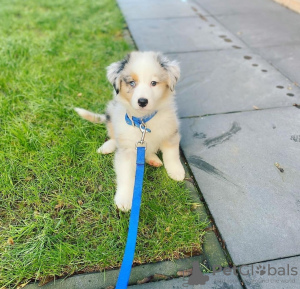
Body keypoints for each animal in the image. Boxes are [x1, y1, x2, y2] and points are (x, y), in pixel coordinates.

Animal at [74, 51, 185, 209]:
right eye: (132, 83)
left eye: (154, 83)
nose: (142, 101)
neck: (143, 121)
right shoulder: (126, 149)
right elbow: (126, 176)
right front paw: (124, 199)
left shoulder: (170, 132)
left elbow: (172, 155)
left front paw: (176, 171)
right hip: (112, 113)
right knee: (113, 136)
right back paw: (107, 147)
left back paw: (153, 160)